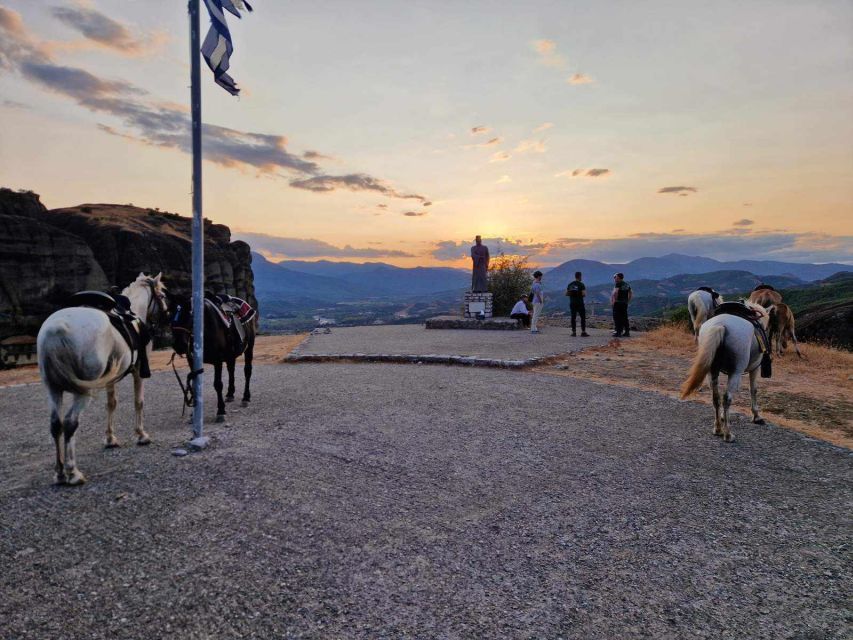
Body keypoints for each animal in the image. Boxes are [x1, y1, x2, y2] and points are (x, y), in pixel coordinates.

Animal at [37, 272, 168, 484]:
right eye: (162, 295)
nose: (167, 314)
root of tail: (56, 330)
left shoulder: (110, 379)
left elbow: (111, 404)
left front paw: (110, 439)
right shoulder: (138, 372)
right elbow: (138, 402)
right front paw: (141, 435)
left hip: (53, 389)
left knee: (56, 424)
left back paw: (59, 472)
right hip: (82, 391)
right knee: (70, 422)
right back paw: (73, 472)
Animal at [680, 302, 772, 442]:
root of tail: (720, 326)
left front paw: (723, 417)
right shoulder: (755, 368)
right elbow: (753, 390)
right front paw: (757, 416)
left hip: (712, 371)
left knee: (716, 397)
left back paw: (718, 428)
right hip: (736, 372)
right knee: (726, 398)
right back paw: (728, 434)